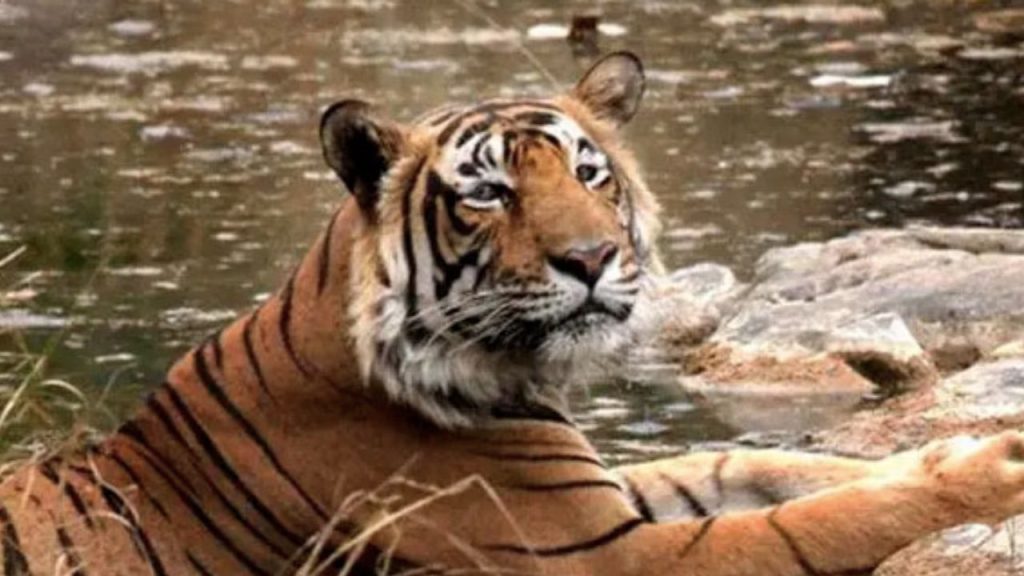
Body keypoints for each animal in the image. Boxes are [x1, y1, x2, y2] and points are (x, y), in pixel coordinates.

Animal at [1, 50, 1023, 576]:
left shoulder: (603, 494)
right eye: (489, 192)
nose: (593, 258)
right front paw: (991, 473)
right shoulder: (601, 558)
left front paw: (955, 447)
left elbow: (758, 463)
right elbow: (814, 524)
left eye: (589, 172)